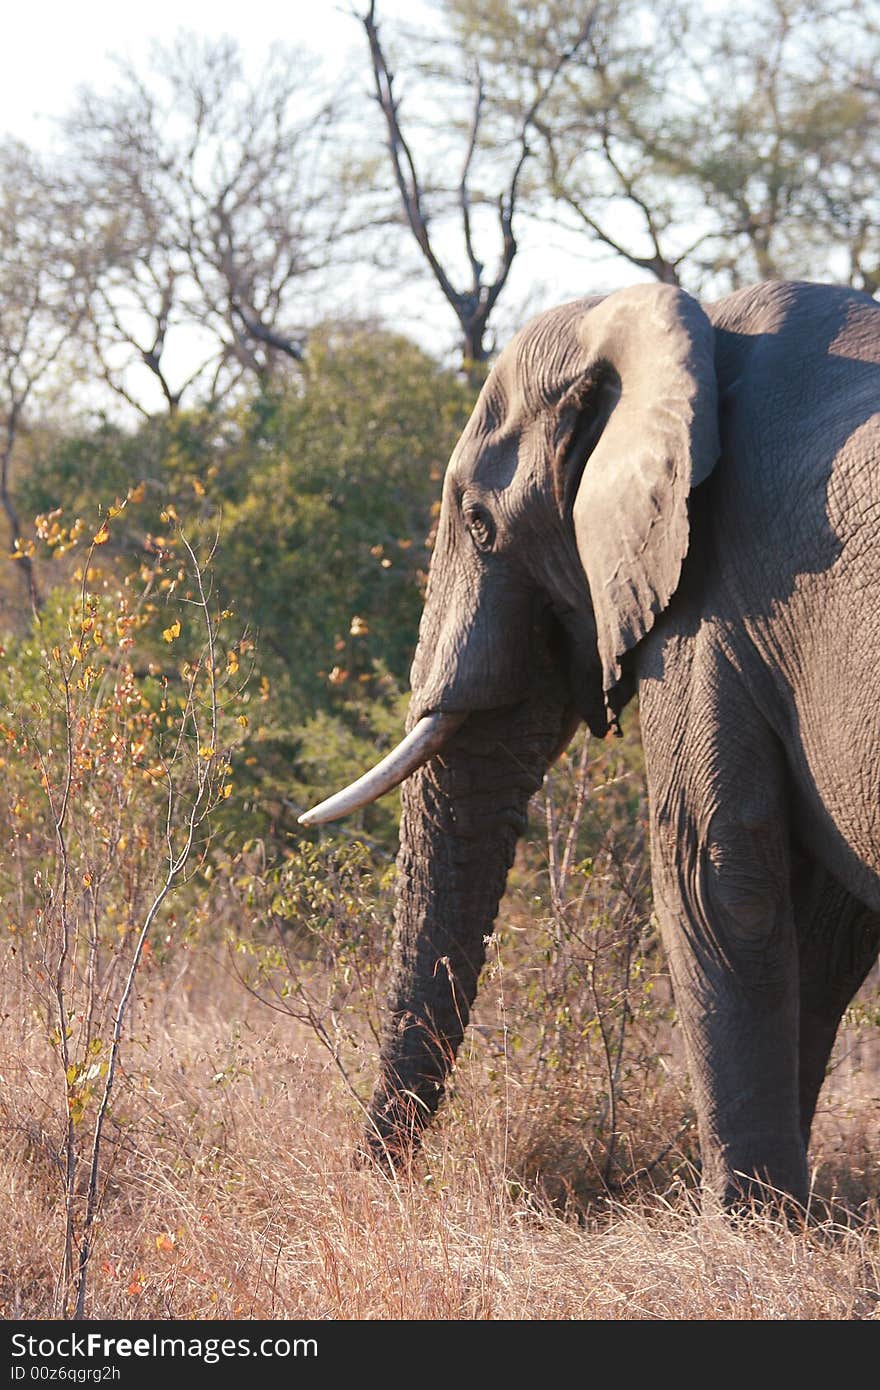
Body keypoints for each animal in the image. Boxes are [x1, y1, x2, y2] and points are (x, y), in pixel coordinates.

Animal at [301, 279, 878, 1206]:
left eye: (479, 522)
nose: (373, 1184)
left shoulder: (717, 598)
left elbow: (713, 871)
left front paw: (746, 1224)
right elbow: (824, 923)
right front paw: (784, 1215)